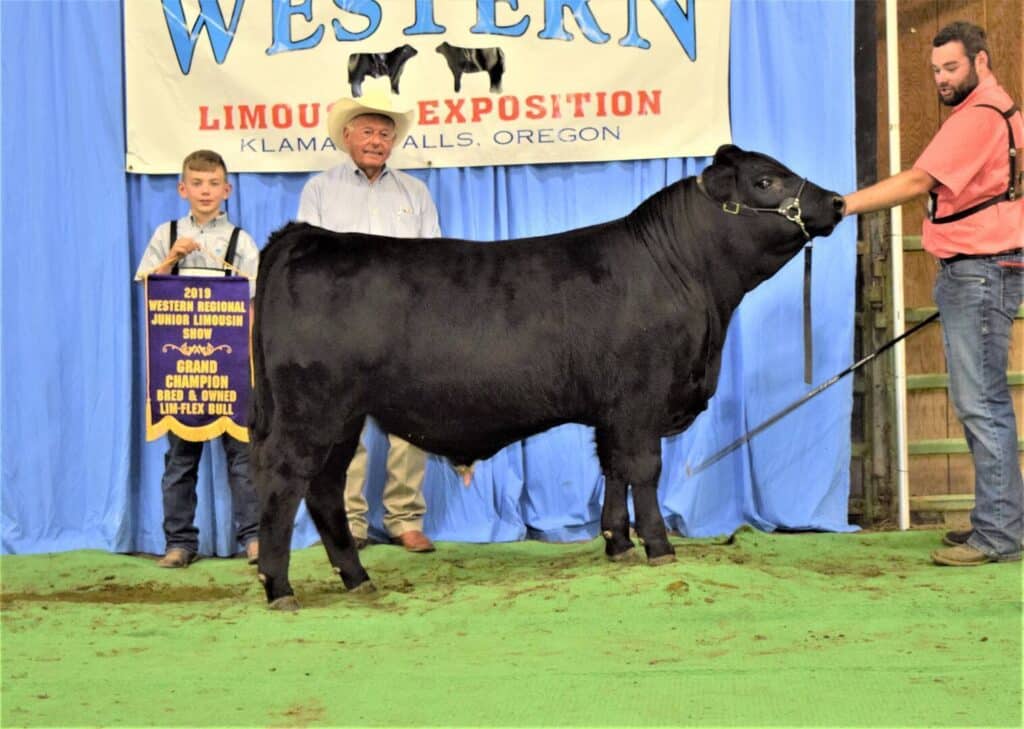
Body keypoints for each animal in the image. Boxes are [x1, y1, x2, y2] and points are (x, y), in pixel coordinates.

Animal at [250, 144, 846, 610]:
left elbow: (614, 468)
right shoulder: (641, 397)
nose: (838, 201)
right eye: (766, 181)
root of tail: (306, 236)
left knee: (324, 487)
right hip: (310, 408)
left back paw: (357, 578)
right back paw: (280, 587)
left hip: (343, 415)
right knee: (285, 479)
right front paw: (659, 548)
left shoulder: (612, 410)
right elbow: (644, 469)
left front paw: (617, 544)